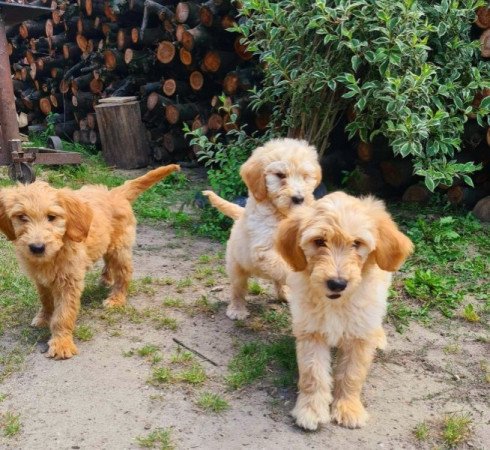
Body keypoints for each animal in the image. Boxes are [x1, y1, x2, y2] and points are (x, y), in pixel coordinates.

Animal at [0, 164, 180, 358]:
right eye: (22, 217)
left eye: (51, 217)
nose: (37, 247)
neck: (54, 255)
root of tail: (115, 193)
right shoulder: (40, 279)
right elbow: (45, 300)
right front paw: (44, 317)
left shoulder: (69, 281)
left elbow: (63, 314)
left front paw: (61, 343)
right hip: (108, 245)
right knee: (109, 263)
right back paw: (106, 279)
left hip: (120, 248)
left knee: (124, 273)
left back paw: (117, 298)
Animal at [202, 137, 322, 320]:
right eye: (280, 175)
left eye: (305, 176)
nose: (299, 198)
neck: (281, 214)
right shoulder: (264, 250)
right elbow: (285, 268)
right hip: (235, 265)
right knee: (238, 289)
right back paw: (237, 310)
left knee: (277, 281)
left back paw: (285, 294)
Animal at [276, 192, 414, 430]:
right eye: (319, 241)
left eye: (357, 243)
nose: (337, 283)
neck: (336, 304)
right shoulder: (311, 332)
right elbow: (313, 374)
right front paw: (311, 409)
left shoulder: (359, 336)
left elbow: (352, 374)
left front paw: (349, 408)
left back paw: (378, 337)